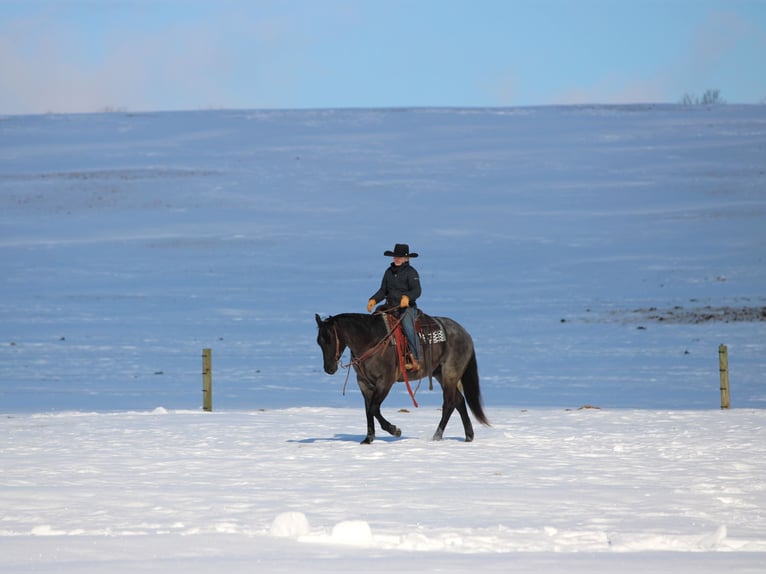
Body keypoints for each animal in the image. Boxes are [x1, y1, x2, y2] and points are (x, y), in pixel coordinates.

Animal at [315, 312, 489, 444]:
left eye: (330, 339)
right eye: (319, 342)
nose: (329, 369)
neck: (371, 340)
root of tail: (465, 333)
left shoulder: (385, 381)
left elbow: (373, 408)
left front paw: (395, 430)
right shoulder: (364, 383)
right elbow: (368, 410)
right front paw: (368, 438)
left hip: (450, 374)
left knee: (449, 403)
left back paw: (437, 436)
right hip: (440, 374)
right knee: (459, 401)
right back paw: (468, 436)